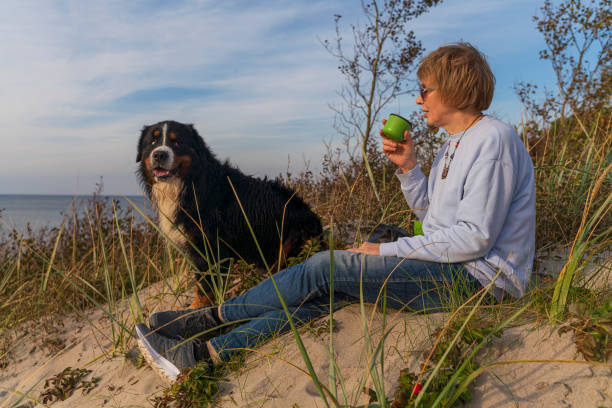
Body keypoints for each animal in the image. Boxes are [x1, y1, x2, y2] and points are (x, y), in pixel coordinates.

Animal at [137, 119, 322, 308]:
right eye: (153, 141)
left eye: (176, 142)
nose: (159, 155)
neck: (189, 184)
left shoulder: (209, 245)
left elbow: (205, 284)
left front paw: (197, 307)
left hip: (294, 236)